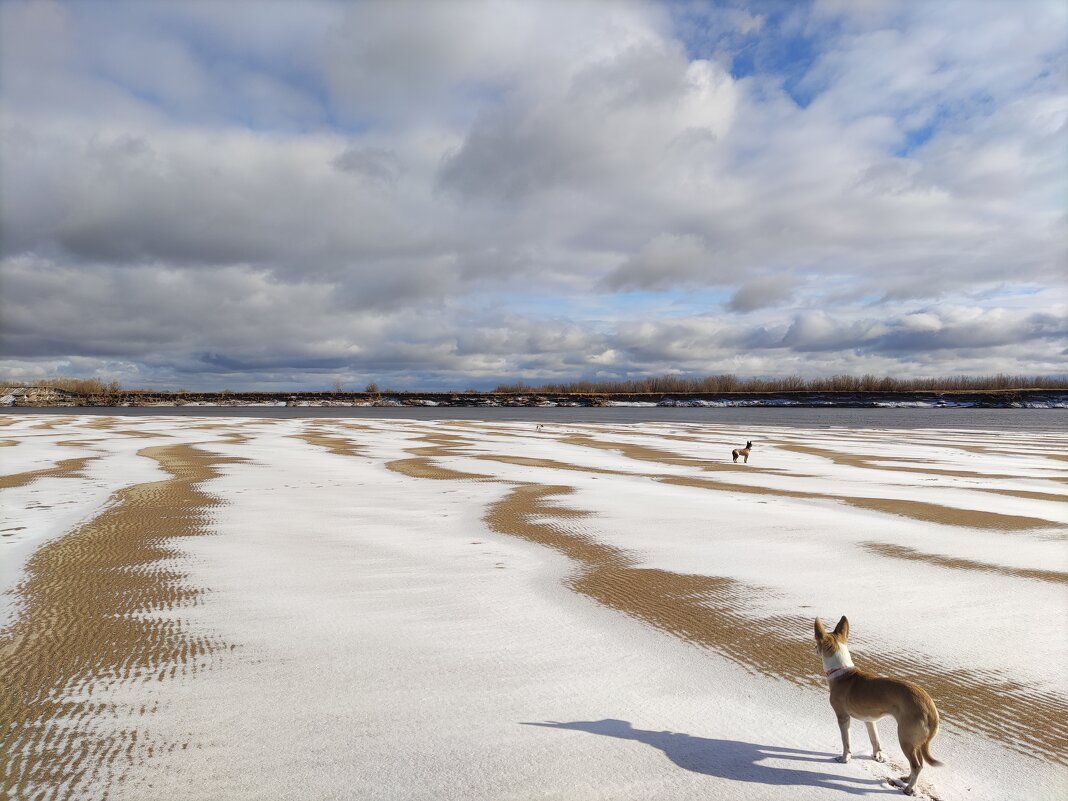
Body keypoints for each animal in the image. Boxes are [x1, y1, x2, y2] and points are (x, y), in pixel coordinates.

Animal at [811, 619, 939, 794]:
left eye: (817, 643)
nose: (813, 649)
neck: (842, 672)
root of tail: (929, 706)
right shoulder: (870, 720)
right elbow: (875, 741)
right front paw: (876, 757)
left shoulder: (843, 717)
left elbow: (846, 743)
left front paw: (844, 759)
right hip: (916, 741)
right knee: (920, 764)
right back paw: (908, 780)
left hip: (905, 738)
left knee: (917, 766)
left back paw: (909, 789)